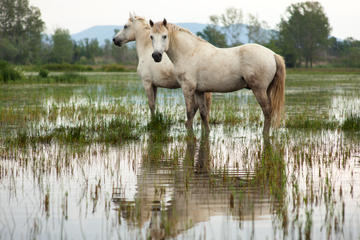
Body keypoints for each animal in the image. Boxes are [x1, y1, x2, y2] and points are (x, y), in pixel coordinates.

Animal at [148, 19, 286, 135]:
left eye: (164, 36)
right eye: (151, 36)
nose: (156, 56)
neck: (190, 53)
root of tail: (272, 54)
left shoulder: (188, 88)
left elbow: (190, 112)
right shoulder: (199, 91)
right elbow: (203, 113)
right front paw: (207, 132)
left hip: (259, 90)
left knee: (267, 111)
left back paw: (264, 134)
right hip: (266, 90)